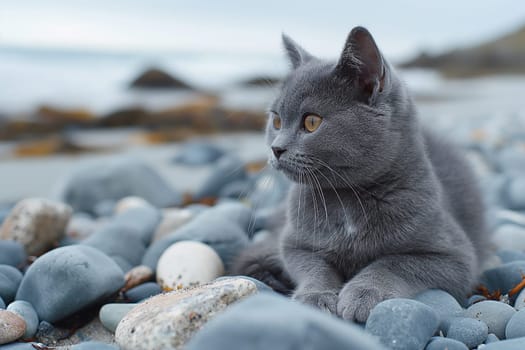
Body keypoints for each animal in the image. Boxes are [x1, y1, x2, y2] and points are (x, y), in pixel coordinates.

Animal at [231, 26, 490, 322]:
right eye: (275, 120)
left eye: (311, 122)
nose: (276, 148)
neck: (347, 201)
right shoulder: (295, 244)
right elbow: (313, 266)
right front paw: (315, 296)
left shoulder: (454, 256)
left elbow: (393, 263)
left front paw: (364, 294)